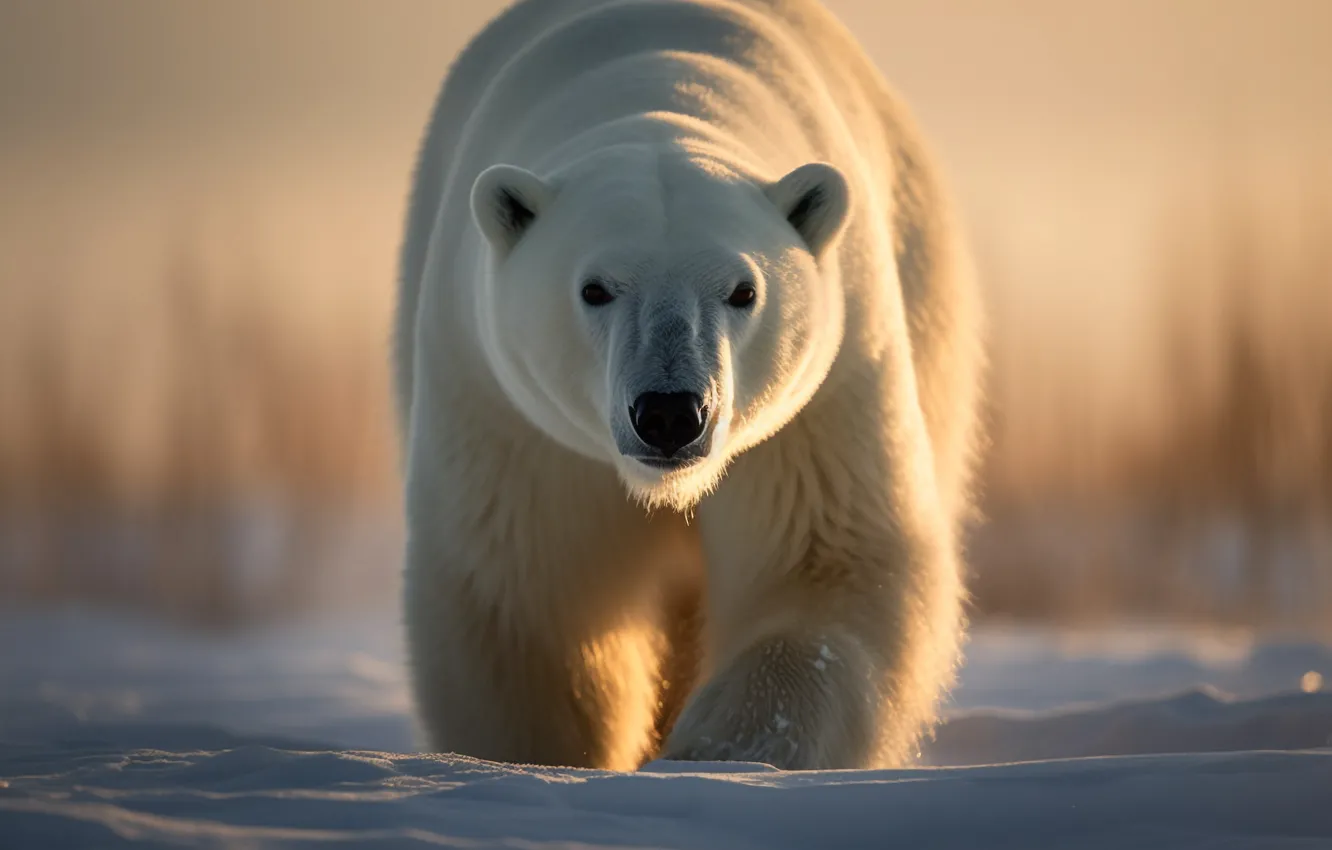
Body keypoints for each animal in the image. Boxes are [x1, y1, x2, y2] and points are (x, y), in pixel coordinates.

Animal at [393, 0, 984, 772]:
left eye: (743, 290)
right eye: (595, 288)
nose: (671, 413)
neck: (658, 86)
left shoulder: (822, 397)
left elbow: (826, 561)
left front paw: (717, 754)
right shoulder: (508, 414)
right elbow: (527, 595)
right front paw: (544, 762)